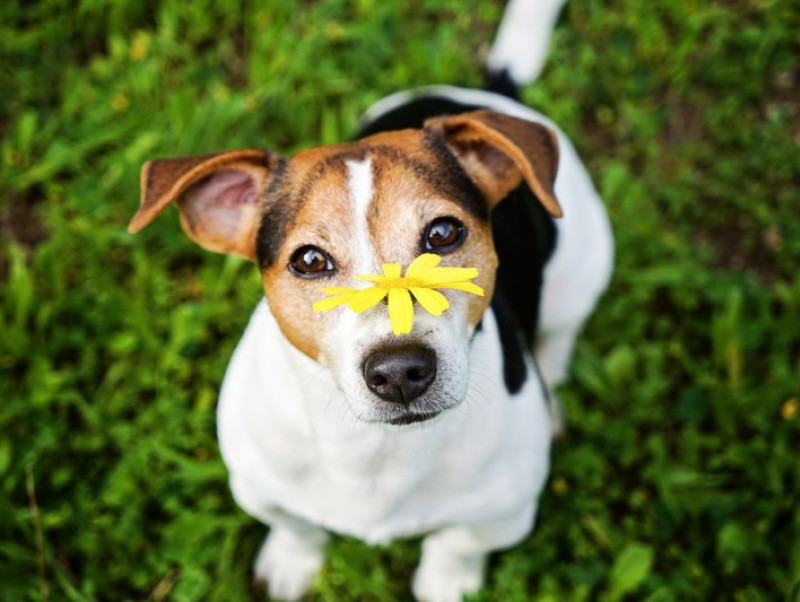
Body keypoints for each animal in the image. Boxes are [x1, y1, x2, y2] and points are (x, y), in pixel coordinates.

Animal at [126, 2, 612, 596]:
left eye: (444, 233)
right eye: (309, 260)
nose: (400, 371)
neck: (377, 449)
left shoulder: (502, 513)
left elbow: (457, 545)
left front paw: (446, 584)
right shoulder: (259, 487)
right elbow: (297, 526)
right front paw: (291, 563)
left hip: (583, 270)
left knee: (559, 340)